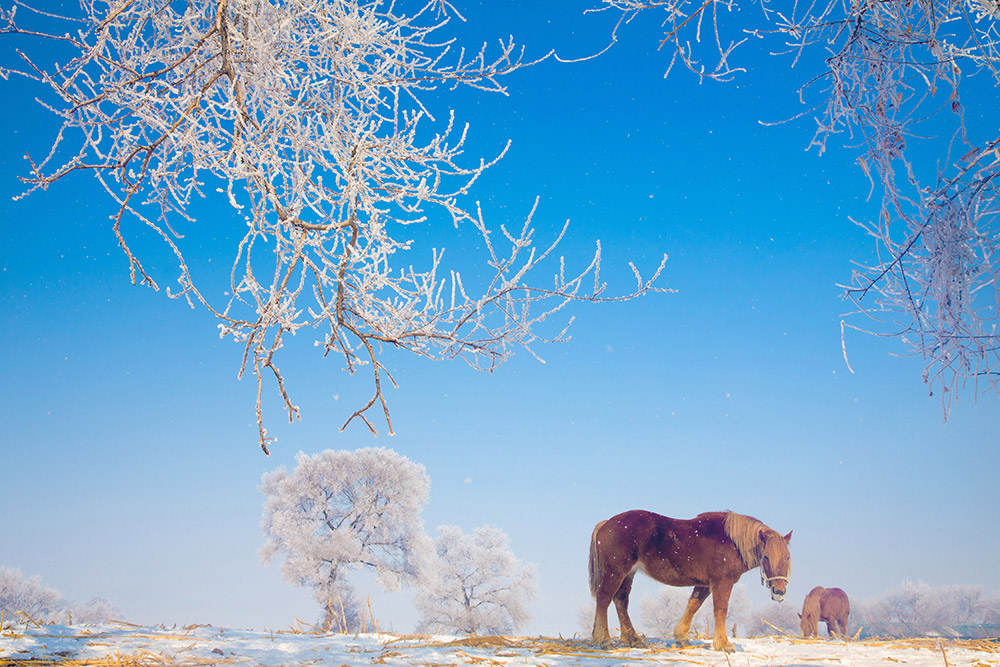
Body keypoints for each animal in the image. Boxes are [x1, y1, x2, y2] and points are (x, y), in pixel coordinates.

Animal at [588, 512, 792, 652]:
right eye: (766, 556)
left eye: (787, 557)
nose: (779, 591)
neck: (732, 543)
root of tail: (606, 524)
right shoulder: (722, 582)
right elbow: (721, 610)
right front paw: (724, 644)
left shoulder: (704, 584)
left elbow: (693, 605)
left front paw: (682, 637)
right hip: (615, 573)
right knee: (604, 598)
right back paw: (604, 639)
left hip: (627, 574)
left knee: (621, 601)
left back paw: (633, 639)